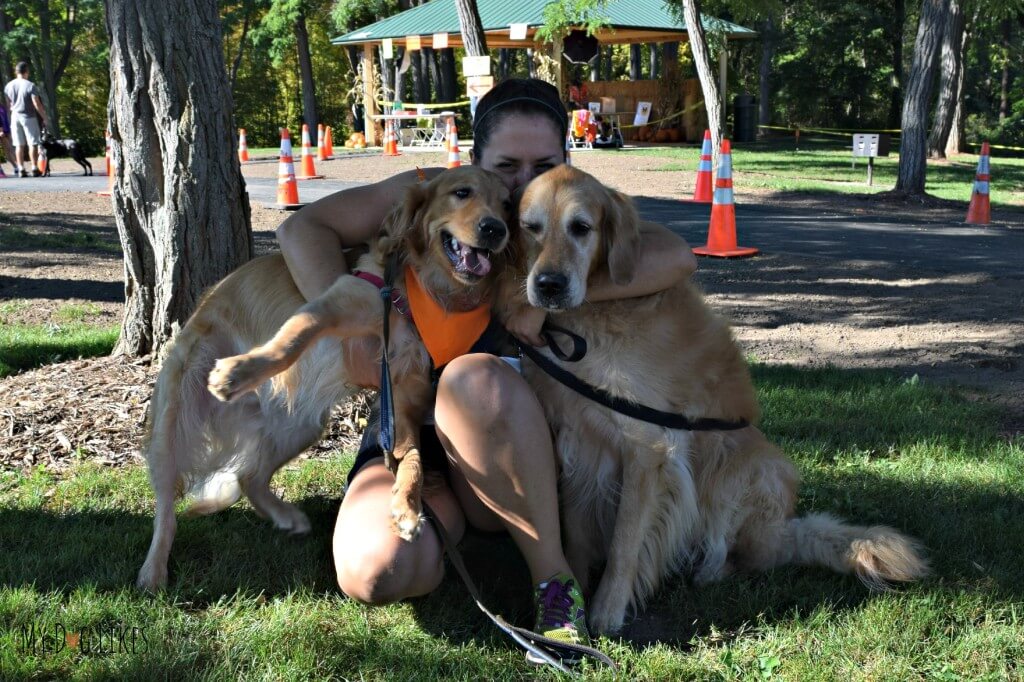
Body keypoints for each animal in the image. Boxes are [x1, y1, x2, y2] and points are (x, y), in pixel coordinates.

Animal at [138, 165, 512, 589]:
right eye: (462, 192)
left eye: (507, 204)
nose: (496, 229)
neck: (430, 290)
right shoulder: (336, 303)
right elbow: (290, 342)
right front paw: (238, 372)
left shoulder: (404, 396)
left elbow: (413, 458)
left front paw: (406, 505)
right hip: (174, 424)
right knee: (166, 507)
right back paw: (153, 570)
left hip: (299, 428)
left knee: (250, 476)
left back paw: (285, 515)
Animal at [503, 164, 929, 630]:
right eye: (530, 228)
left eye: (581, 227)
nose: (548, 285)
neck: (585, 325)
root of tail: (787, 528)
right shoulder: (576, 440)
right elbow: (576, 538)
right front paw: (572, 598)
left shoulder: (647, 447)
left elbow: (625, 542)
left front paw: (607, 611)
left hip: (746, 469)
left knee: (749, 555)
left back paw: (710, 569)